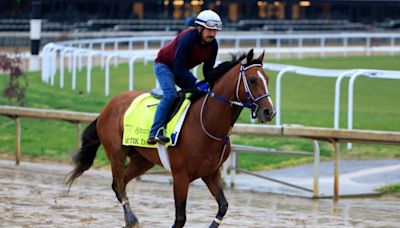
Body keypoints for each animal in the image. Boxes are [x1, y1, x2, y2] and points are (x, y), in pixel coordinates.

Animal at [65, 50, 276, 228]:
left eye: (267, 79)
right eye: (252, 80)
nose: (269, 112)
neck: (206, 124)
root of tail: (108, 106)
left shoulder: (211, 173)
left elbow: (223, 206)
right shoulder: (181, 176)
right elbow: (180, 217)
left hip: (142, 160)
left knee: (120, 183)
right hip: (116, 152)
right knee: (118, 183)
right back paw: (132, 220)